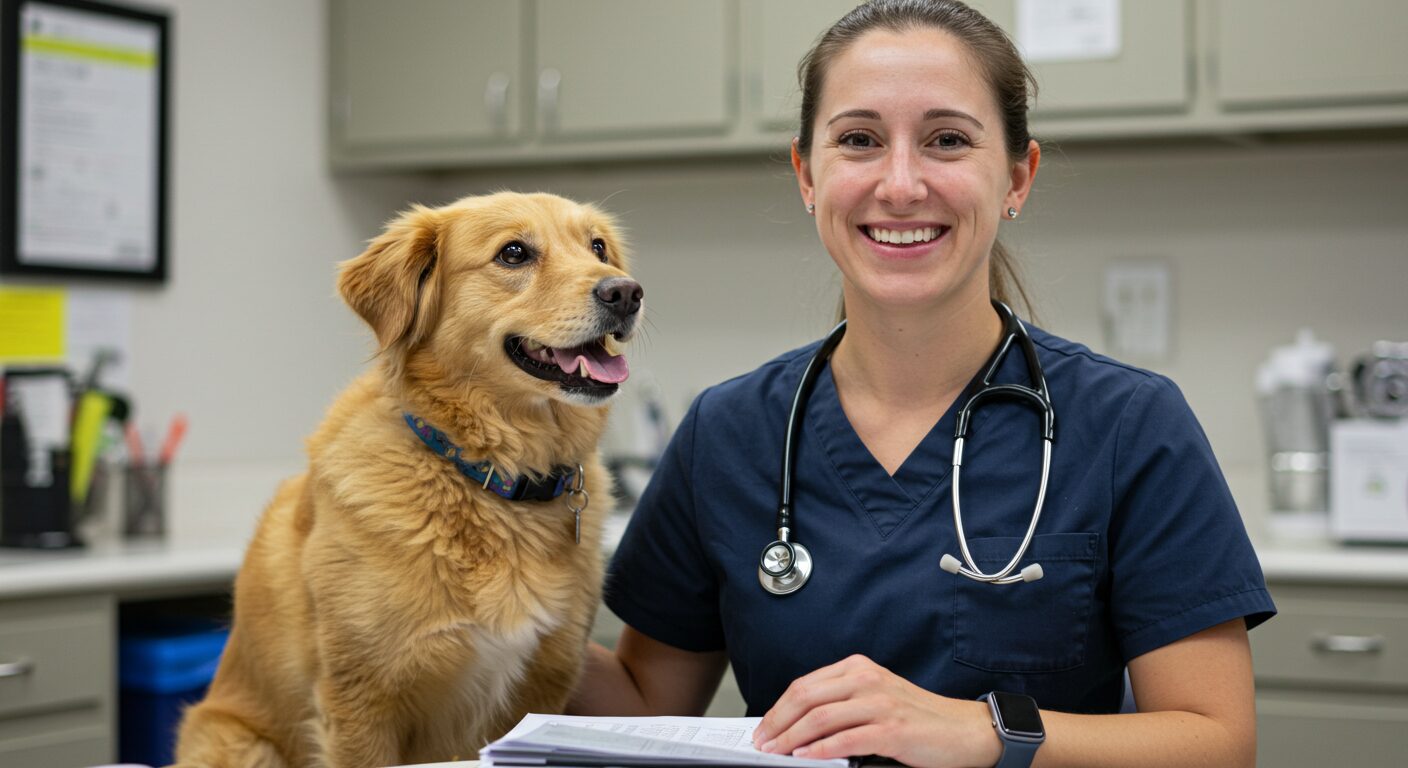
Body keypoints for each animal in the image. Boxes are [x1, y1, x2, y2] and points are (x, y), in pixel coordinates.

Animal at [173, 191, 644, 766]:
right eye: (513, 253)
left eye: (597, 248)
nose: (626, 292)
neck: (489, 476)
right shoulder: (359, 704)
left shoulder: (543, 688)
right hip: (244, 744)